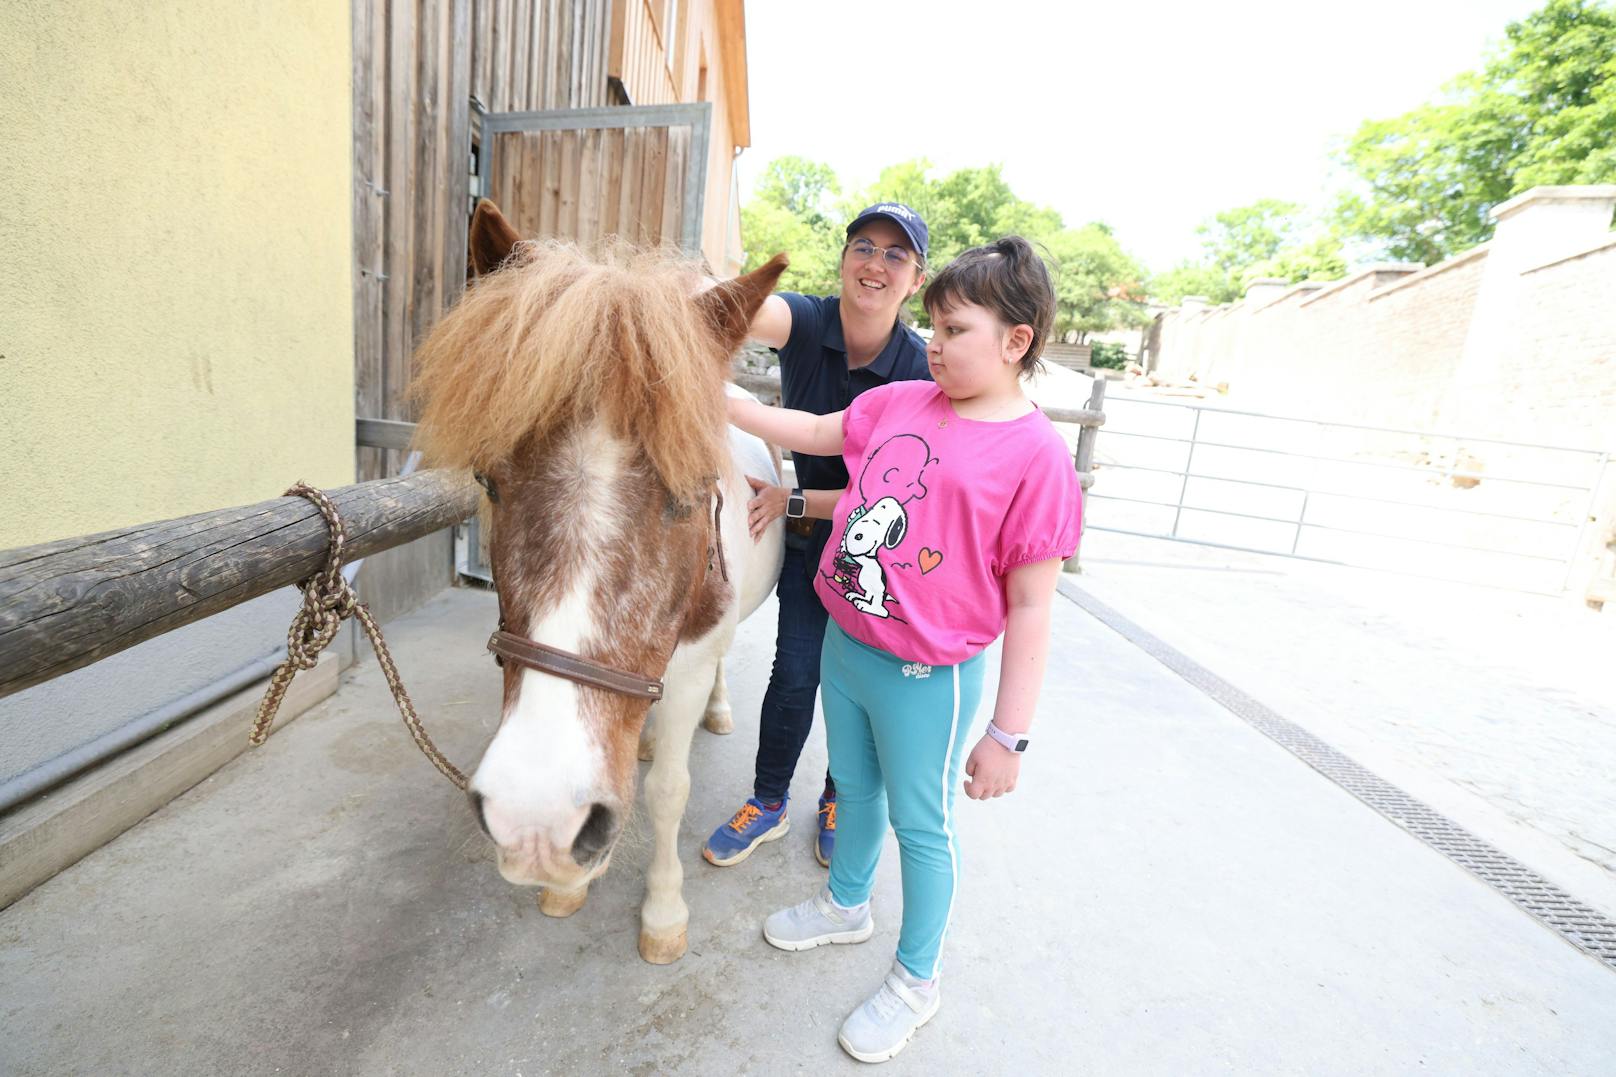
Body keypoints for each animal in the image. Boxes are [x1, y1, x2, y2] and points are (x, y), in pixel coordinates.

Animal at [404, 198, 782, 957]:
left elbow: (669, 791)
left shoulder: (691, 661)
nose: (537, 822)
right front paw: (566, 888)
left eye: (694, 493)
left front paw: (663, 912)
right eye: (489, 482)